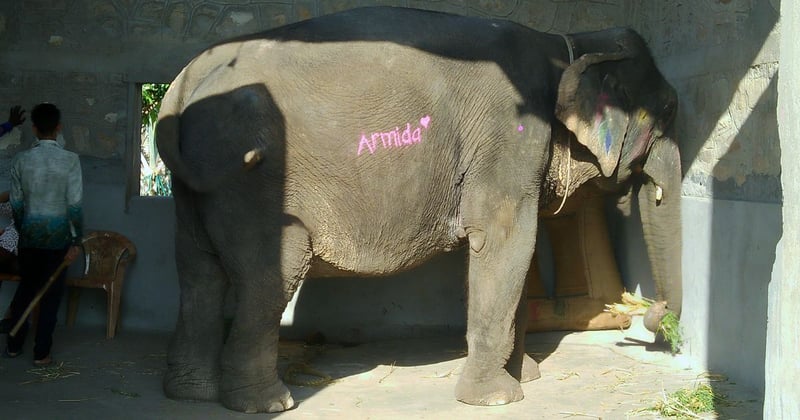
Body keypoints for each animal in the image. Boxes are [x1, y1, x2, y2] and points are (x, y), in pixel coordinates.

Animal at [156, 6, 681, 413]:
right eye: (669, 111)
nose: (655, 319)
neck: (568, 45)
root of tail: (181, 84)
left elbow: (516, 251)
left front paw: (524, 377)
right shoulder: (509, 137)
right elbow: (506, 240)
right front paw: (498, 399)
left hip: (194, 191)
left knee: (198, 272)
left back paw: (191, 393)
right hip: (252, 182)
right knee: (270, 276)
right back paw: (266, 404)